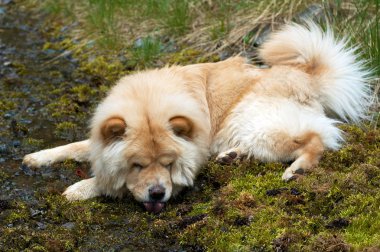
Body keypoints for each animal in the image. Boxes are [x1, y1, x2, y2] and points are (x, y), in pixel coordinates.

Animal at [22, 23, 370, 213]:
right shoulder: (99, 136)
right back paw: (232, 157)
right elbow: (74, 146)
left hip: (253, 120)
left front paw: (81, 187)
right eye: (138, 165)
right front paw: (38, 157)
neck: (148, 101)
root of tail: (307, 76)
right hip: (247, 127)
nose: (158, 194)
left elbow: (107, 180)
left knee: (316, 139)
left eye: (168, 164)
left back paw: (296, 170)